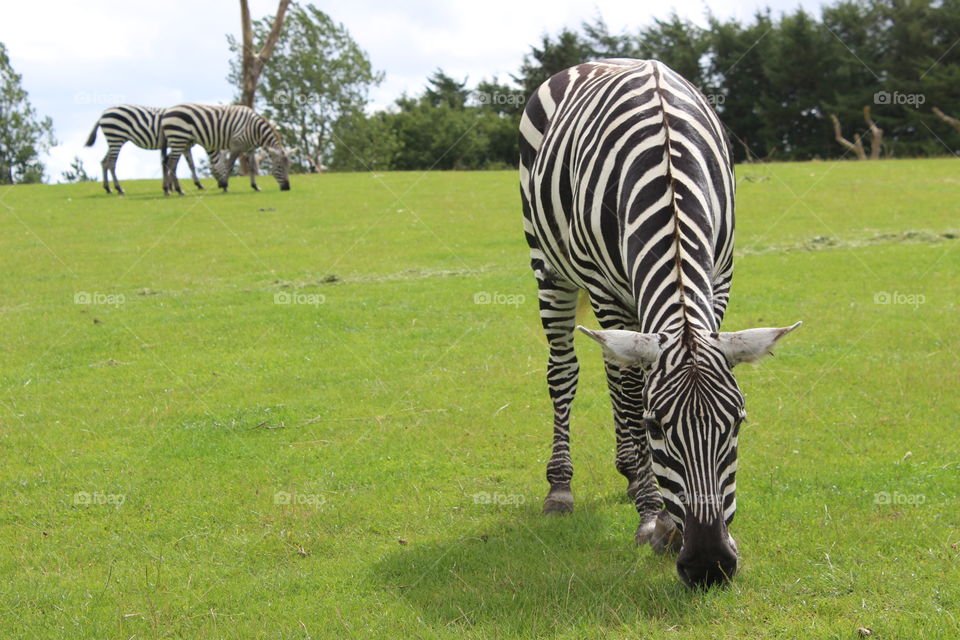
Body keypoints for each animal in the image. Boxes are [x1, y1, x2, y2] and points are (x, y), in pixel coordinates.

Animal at [160, 104, 290, 195]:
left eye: (289, 167)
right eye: (279, 167)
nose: (287, 188)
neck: (255, 129)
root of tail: (166, 112)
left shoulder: (250, 149)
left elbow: (252, 167)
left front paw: (255, 186)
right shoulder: (236, 146)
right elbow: (229, 165)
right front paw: (225, 186)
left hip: (182, 142)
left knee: (170, 163)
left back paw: (170, 189)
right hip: (178, 139)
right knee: (171, 164)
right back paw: (175, 190)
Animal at [519, 59, 801, 588]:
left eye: (739, 422)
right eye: (656, 425)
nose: (710, 565)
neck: (668, 175)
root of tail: (595, 61)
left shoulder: (721, 275)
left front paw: (658, 510)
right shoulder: (606, 289)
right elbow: (631, 393)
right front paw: (655, 517)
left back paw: (629, 476)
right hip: (548, 265)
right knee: (567, 373)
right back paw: (562, 487)